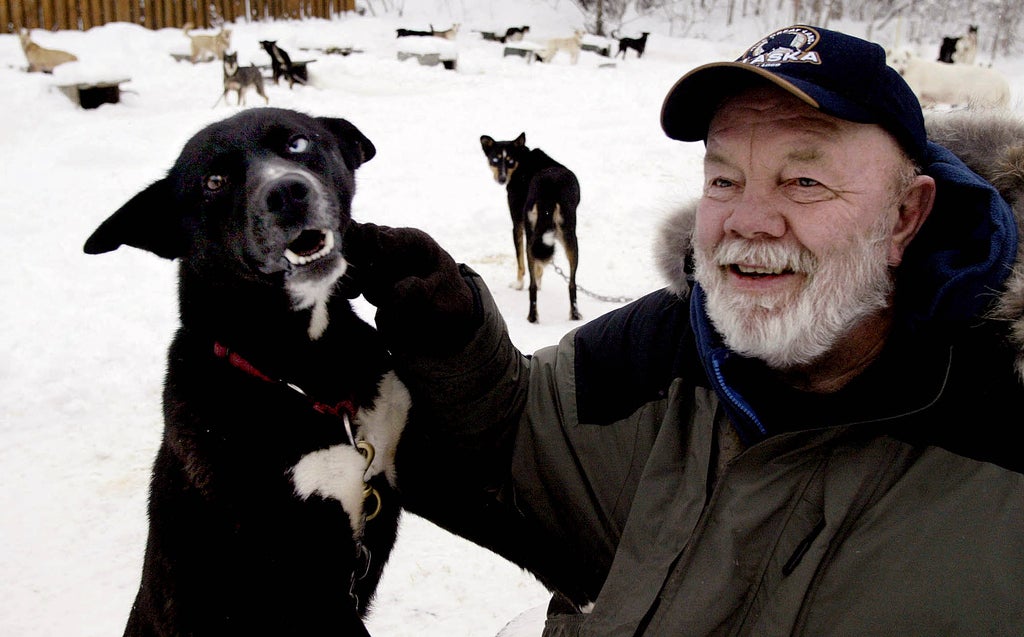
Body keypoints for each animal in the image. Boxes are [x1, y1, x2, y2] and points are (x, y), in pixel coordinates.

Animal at [477, 133, 577, 323]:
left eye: (509, 161)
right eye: (495, 159)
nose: (501, 179)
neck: (523, 160)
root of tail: (549, 191)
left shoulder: (517, 224)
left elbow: (520, 261)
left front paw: (518, 284)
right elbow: (539, 267)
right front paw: (540, 278)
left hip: (533, 236)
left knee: (531, 285)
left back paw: (532, 316)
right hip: (568, 237)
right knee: (572, 284)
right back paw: (574, 315)